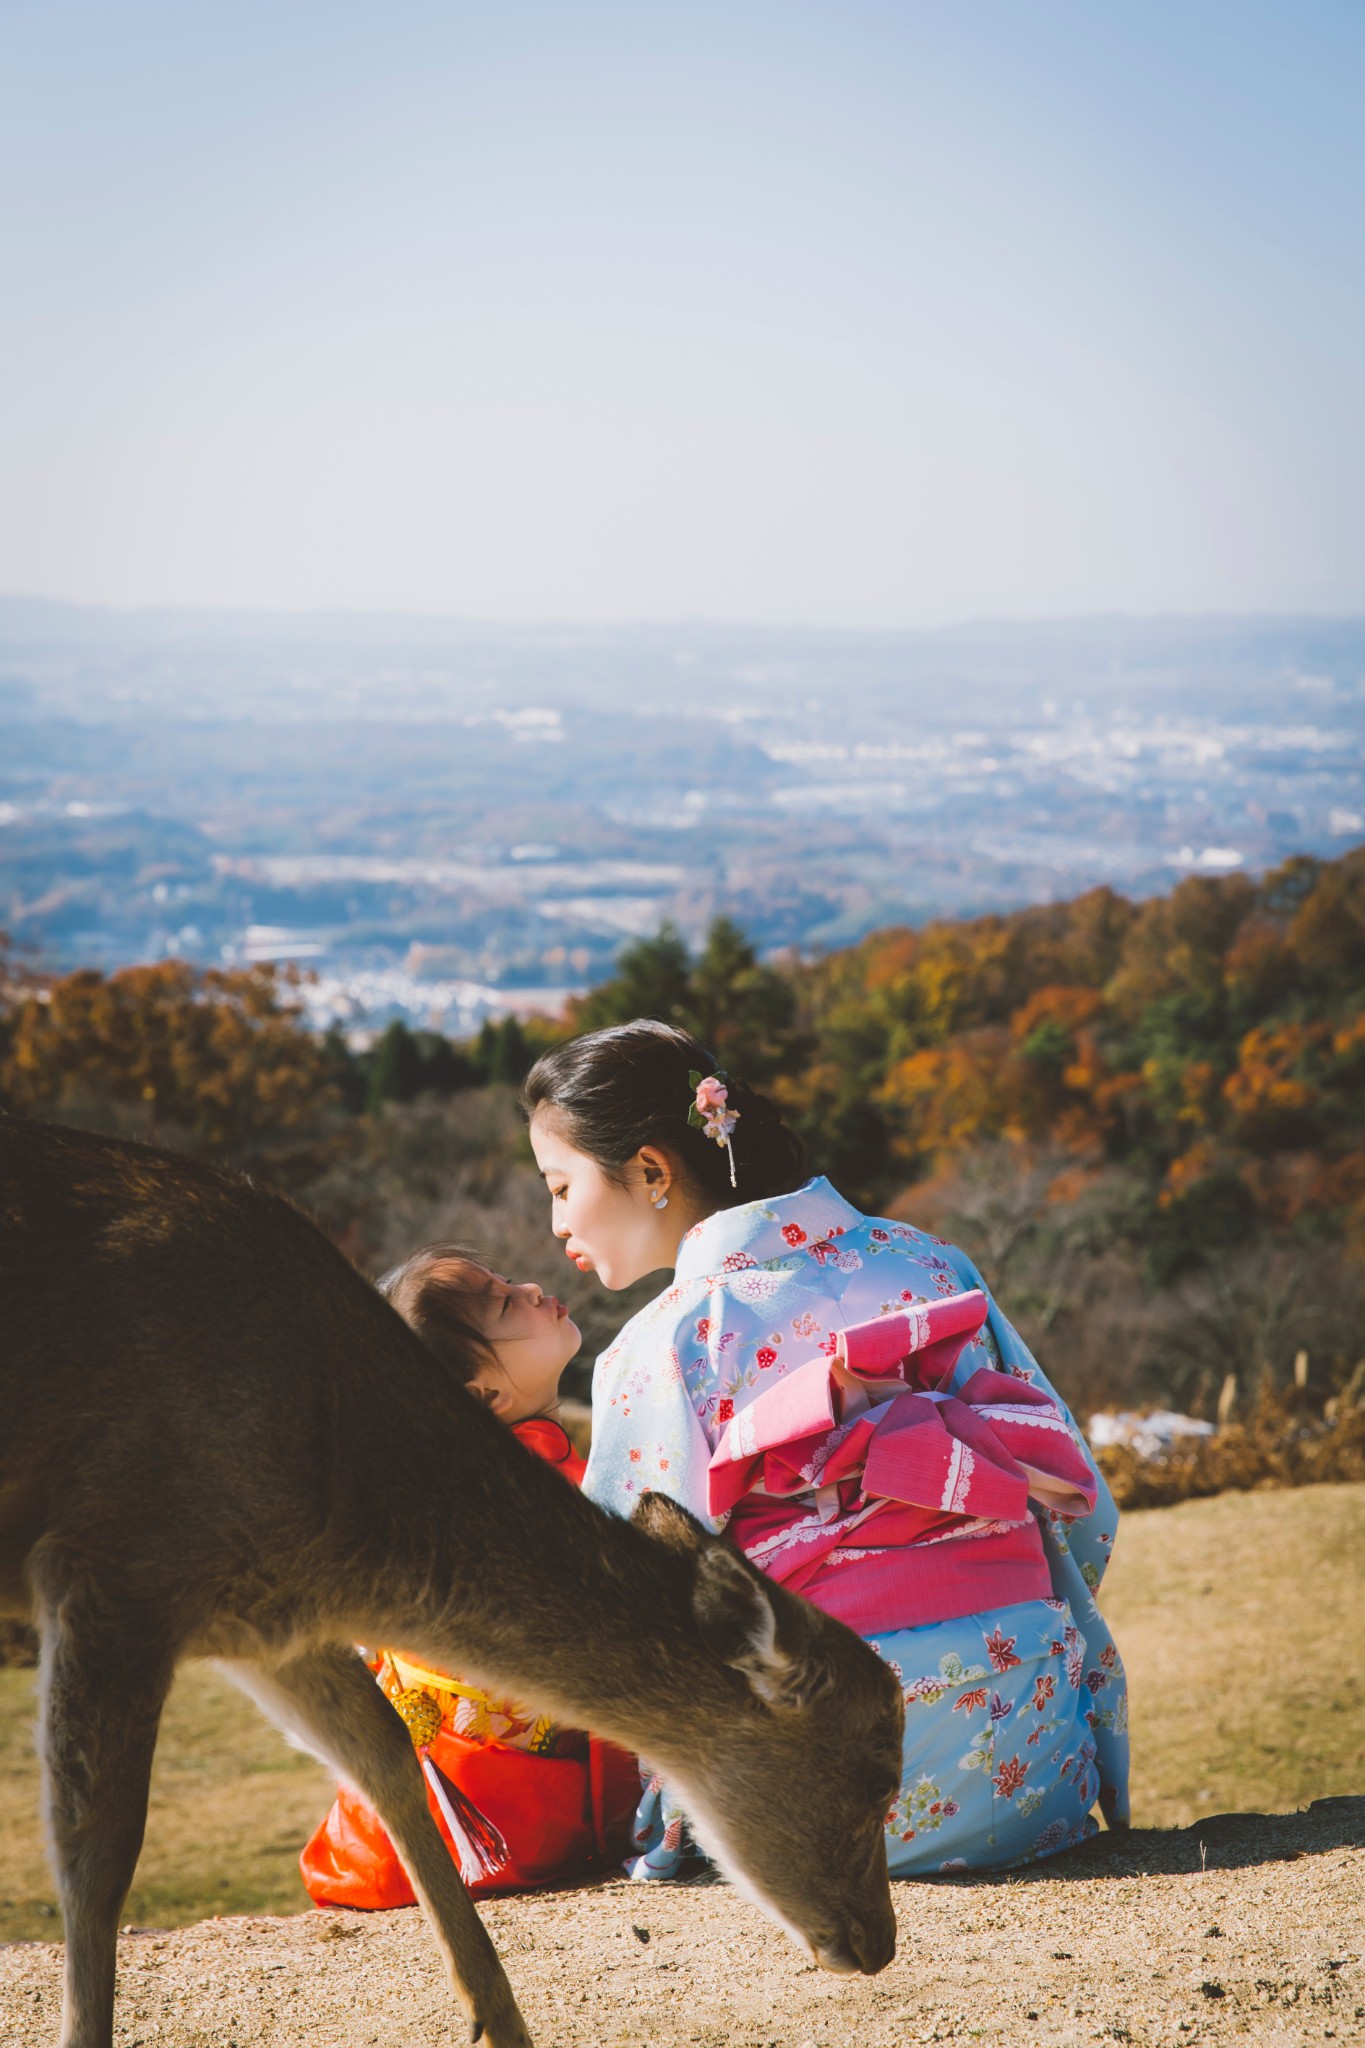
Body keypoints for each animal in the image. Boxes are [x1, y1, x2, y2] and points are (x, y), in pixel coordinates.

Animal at [5, 1114, 912, 2048]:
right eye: (878, 1776)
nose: (878, 1943)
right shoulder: (116, 1563)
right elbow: (96, 1854)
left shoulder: (266, 1626)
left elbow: (384, 1754)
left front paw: (498, 2019)